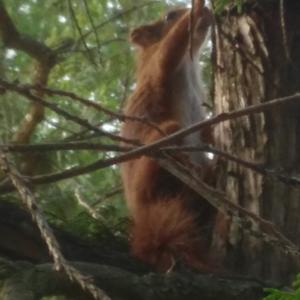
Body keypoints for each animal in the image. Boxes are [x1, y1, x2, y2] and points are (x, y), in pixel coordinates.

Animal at [120, 0, 214, 272]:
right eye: (169, 15)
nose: (209, 14)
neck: (190, 65)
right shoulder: (156, 66)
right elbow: (168, 51)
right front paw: (197, 8)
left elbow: (207, 129)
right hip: (159, 149)